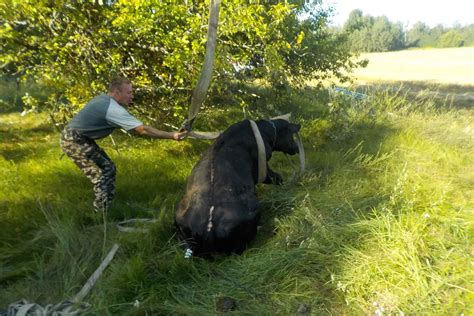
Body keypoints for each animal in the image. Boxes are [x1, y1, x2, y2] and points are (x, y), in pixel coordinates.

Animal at [174, 118, 300, 256]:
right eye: (291, 134)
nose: (297, 148)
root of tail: (208, 230)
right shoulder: (262, 169)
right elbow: (277, 178)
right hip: (253, 209)